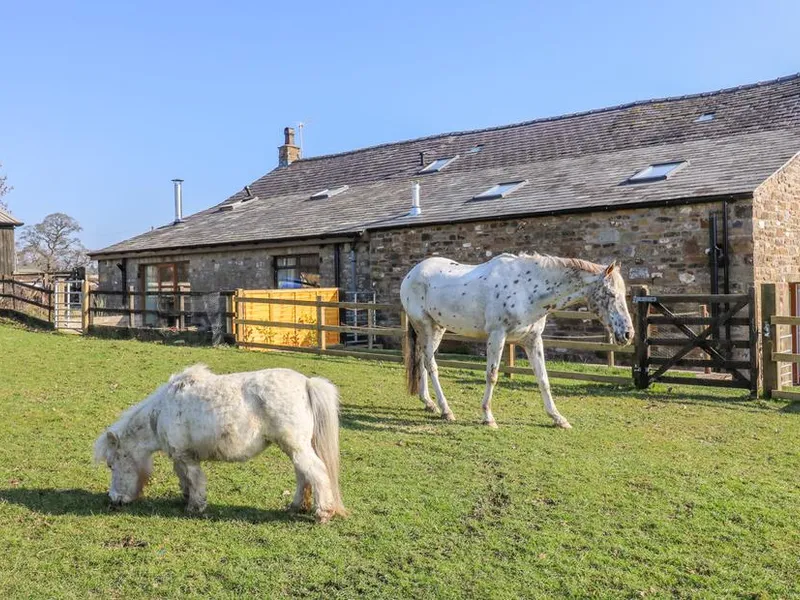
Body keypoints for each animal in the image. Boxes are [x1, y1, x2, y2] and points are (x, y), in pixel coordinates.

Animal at [93, 364, 346, 523]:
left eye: (111, 465)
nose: (114, 500)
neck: (161, 412)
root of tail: (307, 383)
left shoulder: (186, 457)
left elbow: (195, 479)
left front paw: (195, 506)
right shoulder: (179, 457)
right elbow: (183, 478)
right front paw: (186, 498)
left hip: (297, 447)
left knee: (317, 472)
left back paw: (323, 513)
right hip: (295, 448)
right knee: (303, 475)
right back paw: (296, 506)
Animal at [400, 253, 634, 428]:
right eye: (611, 294)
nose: (628, 334)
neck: (526, 289)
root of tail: (411, 274)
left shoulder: (533, 340)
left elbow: (543, 378)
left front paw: (558, 418)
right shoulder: (497, 336)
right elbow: (492, 375)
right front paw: (488, 417)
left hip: (437, 329)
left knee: (423, 361)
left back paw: (429, 403)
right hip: (425, 325)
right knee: (431, 364)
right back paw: (445, 410)